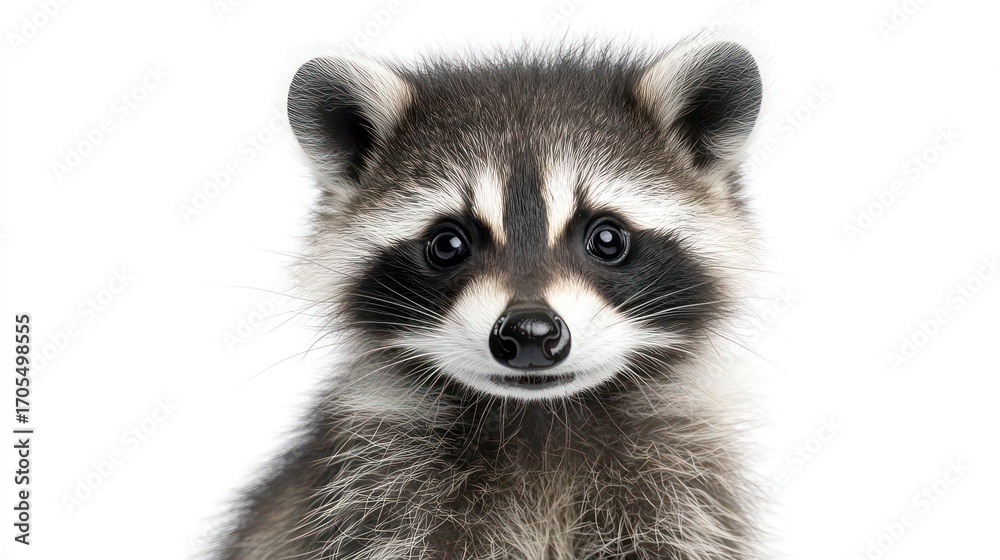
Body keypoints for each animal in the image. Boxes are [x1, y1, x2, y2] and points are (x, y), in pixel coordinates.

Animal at [217, 38, 764, 560]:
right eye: (448, 244)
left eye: (607, 239)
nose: (530, 332)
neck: (540, 417)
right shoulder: (375, 499)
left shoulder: (684, 496)